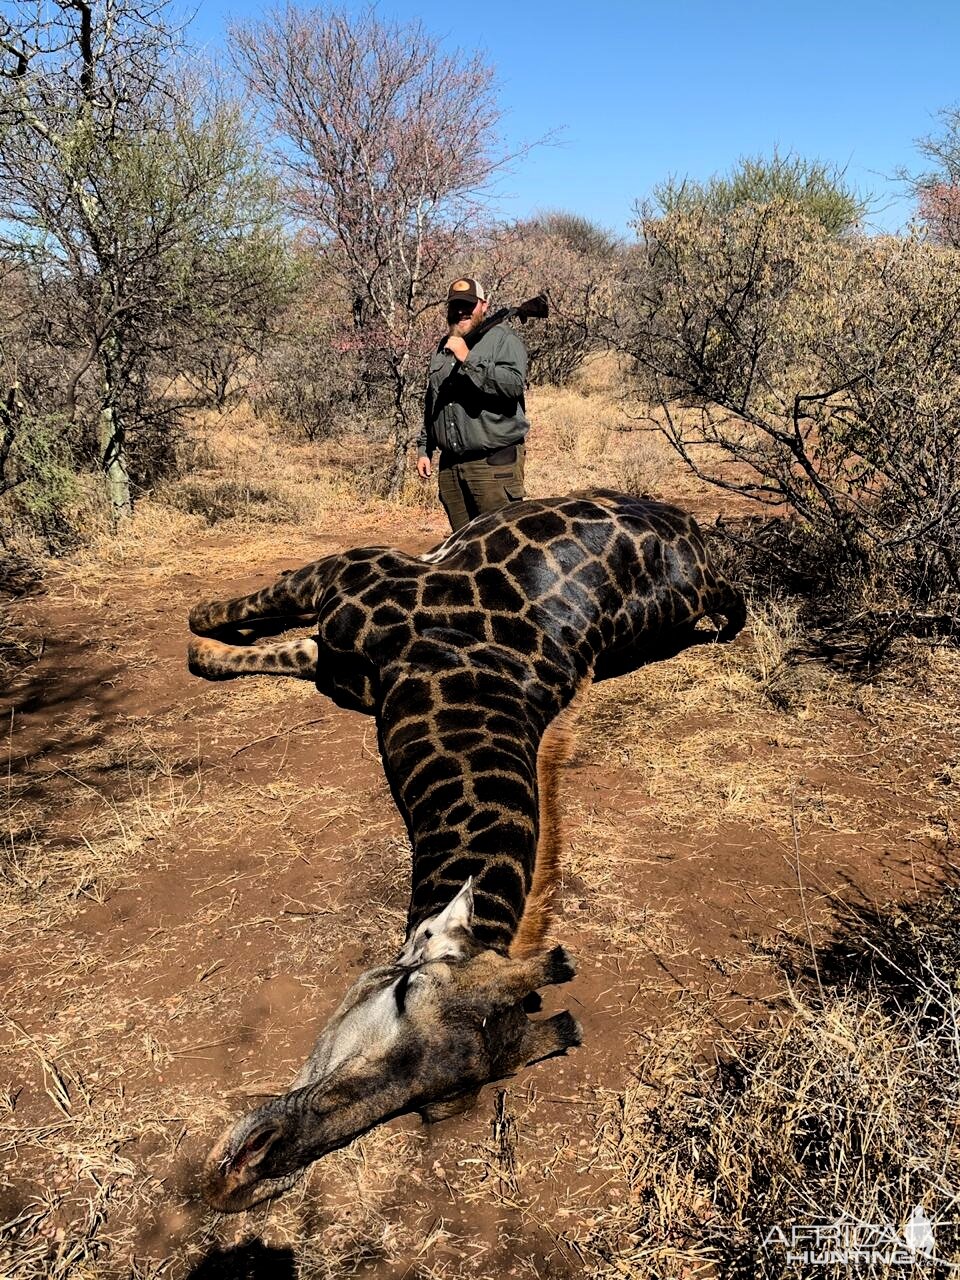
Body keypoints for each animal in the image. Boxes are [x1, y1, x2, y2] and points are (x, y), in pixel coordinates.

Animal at [185, 488, 742, 1208]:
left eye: (435, 1104)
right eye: (403, 994)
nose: (247, 1172)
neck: (432, 670)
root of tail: (696, 539)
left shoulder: (336, 621)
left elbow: (255, 644)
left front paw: (208, 646)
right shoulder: (342, 577)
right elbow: (231, 618)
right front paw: (205, 628)